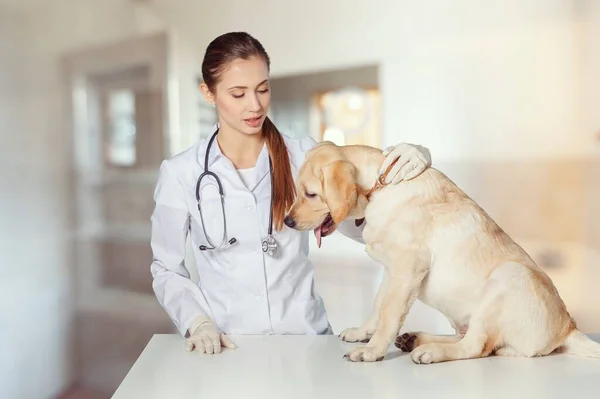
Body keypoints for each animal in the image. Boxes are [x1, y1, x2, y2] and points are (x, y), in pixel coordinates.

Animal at [284, 141, 600, 366]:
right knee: (473, 340)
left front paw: (372, 350)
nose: (286, 221)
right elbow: (378, 307)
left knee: (476, 346)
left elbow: (388, 315)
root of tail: (568, 328)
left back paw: (429, 351)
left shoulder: (406, 270)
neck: (381, 187)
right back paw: (416, 339)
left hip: (508, 277)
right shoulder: (391, 271)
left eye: (310, 194)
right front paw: (363, 333)